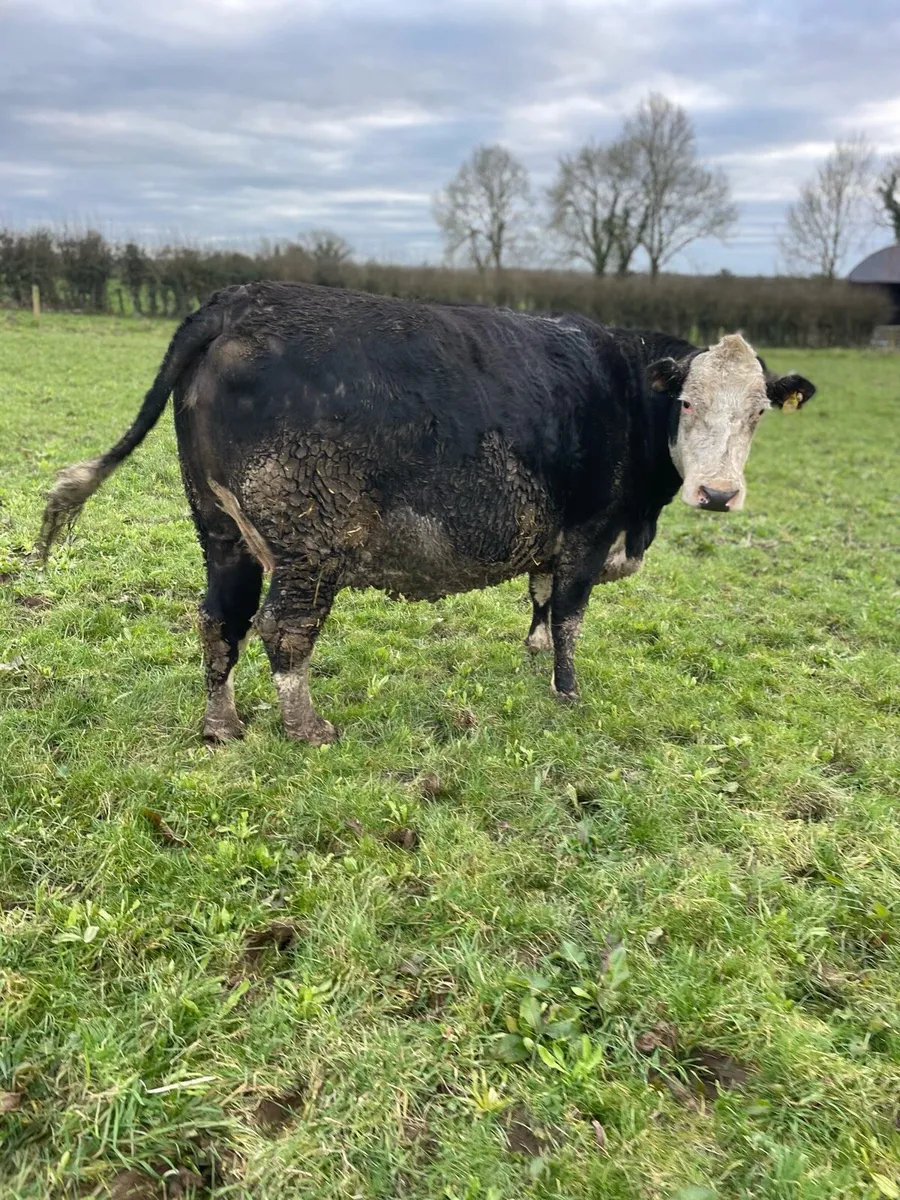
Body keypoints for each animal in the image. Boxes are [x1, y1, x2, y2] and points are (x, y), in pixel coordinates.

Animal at [36, 281, 816, 744]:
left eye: (757, 413)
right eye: (686, 403)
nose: (718, 494)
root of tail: (244, 299)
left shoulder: (551, 537)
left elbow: (539, 601)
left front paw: (533, 654)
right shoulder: (589, 534)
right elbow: (569, 616)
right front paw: (566, 691)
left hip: (220, 527)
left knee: (219, 619)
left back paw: (222, 724)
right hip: (307, 540)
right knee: (282, 631)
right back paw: (307, 727)